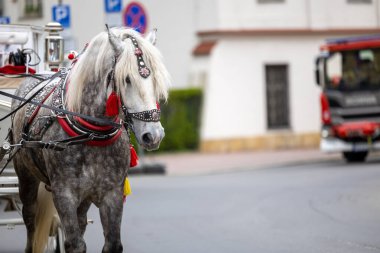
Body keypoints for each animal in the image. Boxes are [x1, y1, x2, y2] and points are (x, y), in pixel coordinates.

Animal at [9, 26, 170, 252]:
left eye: (155, 78)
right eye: (127, 79)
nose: (153, 135)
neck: (92, 134)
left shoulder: (112, 193)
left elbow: (112, 243)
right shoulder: (64, 193)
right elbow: (75, 244)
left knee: (81, 220)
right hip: (26, 176)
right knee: (30, 218)